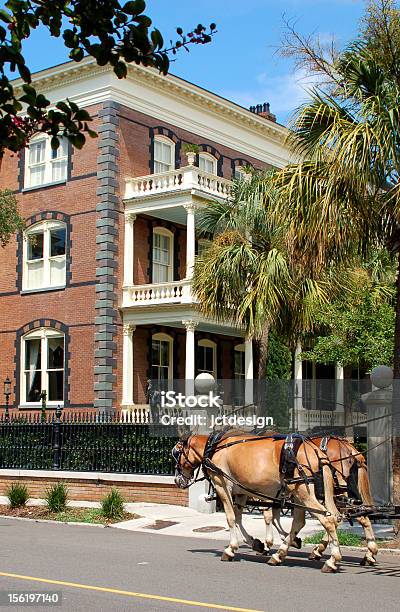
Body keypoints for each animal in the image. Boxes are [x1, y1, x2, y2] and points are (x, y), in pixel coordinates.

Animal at [173, 432, 342, 572]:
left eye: (176, 452)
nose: (177, 480)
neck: (213, 448)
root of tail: (317, 451)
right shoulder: (241, 492)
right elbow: (238, 518)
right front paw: (256, 544)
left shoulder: (222, 486)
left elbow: (231, 518)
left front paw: (230, 549)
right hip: (298, 494)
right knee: (306, 521)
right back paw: (280, 554)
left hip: (303, 491)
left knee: (327, 519)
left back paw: (332, 559)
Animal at [262, 438, 378, 568]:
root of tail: (350, 449)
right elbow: (275, 518)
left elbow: (269, 517)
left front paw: (268, 544)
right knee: (356, 517)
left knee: (342, 517)